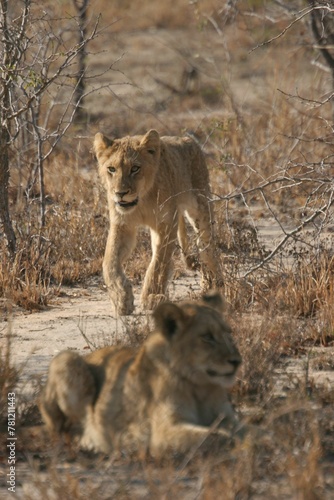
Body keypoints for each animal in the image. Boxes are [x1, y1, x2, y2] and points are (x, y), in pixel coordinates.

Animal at [39, 292, 243, 458]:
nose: (237, 361)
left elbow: (247, 428)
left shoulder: (227, 416)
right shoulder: (162, 433)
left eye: (228, 333)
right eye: (207, 337)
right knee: (63, 431)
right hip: (67, 359)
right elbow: (214, 436)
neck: (200, 387)